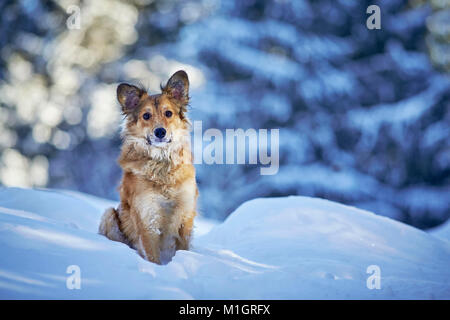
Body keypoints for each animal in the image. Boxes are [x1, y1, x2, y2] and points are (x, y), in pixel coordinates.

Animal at [99, 70, 198, 264]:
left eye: (168, 113)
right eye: (146, 116)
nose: (160, 132)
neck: (162, 165)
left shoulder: (185, 216)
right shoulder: (147, 220)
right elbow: (152, 256)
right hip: (108, 215)